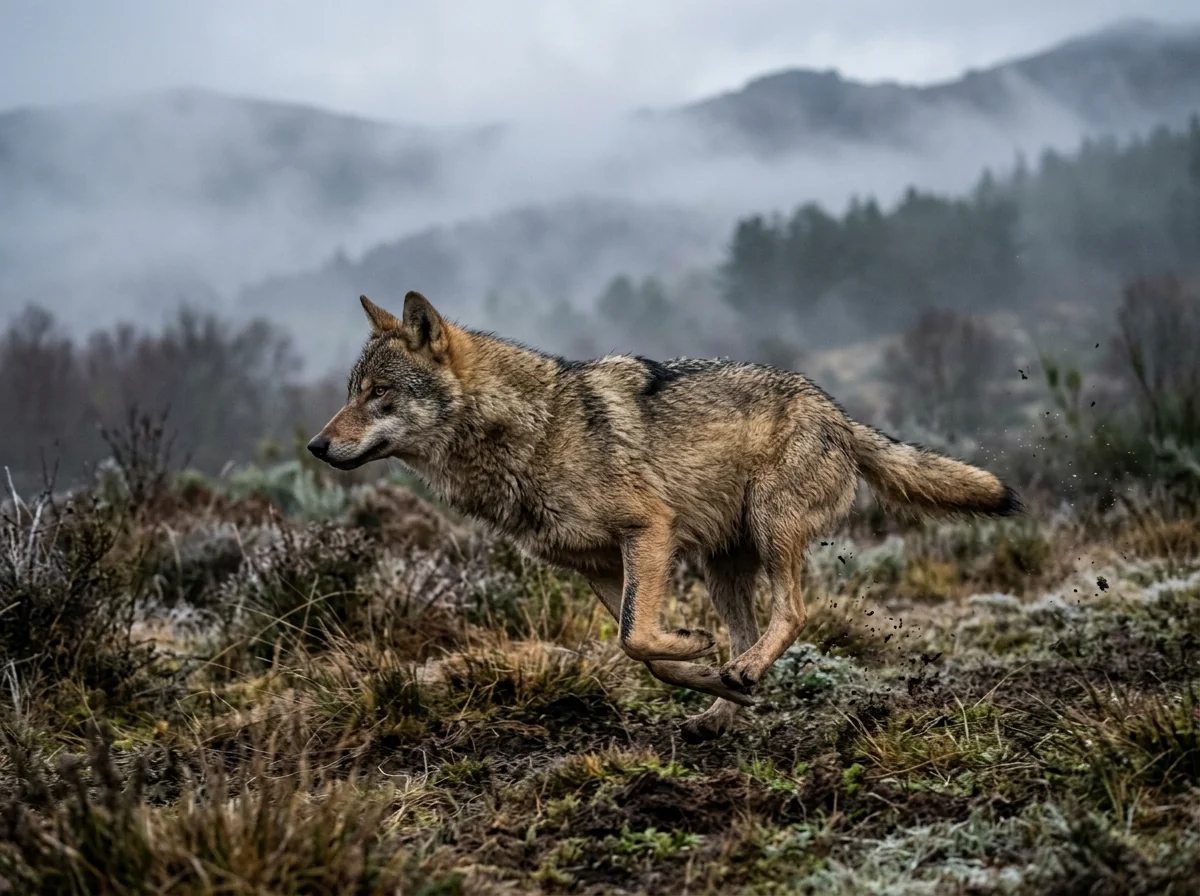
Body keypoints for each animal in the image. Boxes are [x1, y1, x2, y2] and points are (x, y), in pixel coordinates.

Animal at [308, 291, 1021, 742]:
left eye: (378, 394)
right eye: (351, 393)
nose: (316, 446)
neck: (530, 432)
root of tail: (840, 416)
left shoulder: (648, 531)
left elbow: (635, 637)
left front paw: (698, 650)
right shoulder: (597, 566)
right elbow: (644, 652)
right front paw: (702, 671)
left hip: (769, 531)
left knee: (794, 612)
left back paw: (742, 673)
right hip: (720, 566)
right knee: (750, 629)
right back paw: (729, 700)